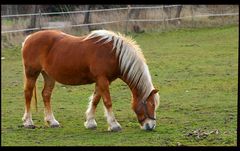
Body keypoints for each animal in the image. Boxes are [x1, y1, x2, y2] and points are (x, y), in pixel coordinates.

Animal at [20, 29, 159, 131]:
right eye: (151, 105)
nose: (151, 126)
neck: (114, 54)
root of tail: (29, 38)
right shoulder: (103, 80)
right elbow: (107, 102)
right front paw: (114, 125)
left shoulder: (101, 81)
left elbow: (95, 100)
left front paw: (90, 122)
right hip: (31, 73)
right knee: (28, 94)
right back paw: (28, 122)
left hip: (49, 76)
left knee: (46, 95)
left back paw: (52, 121)